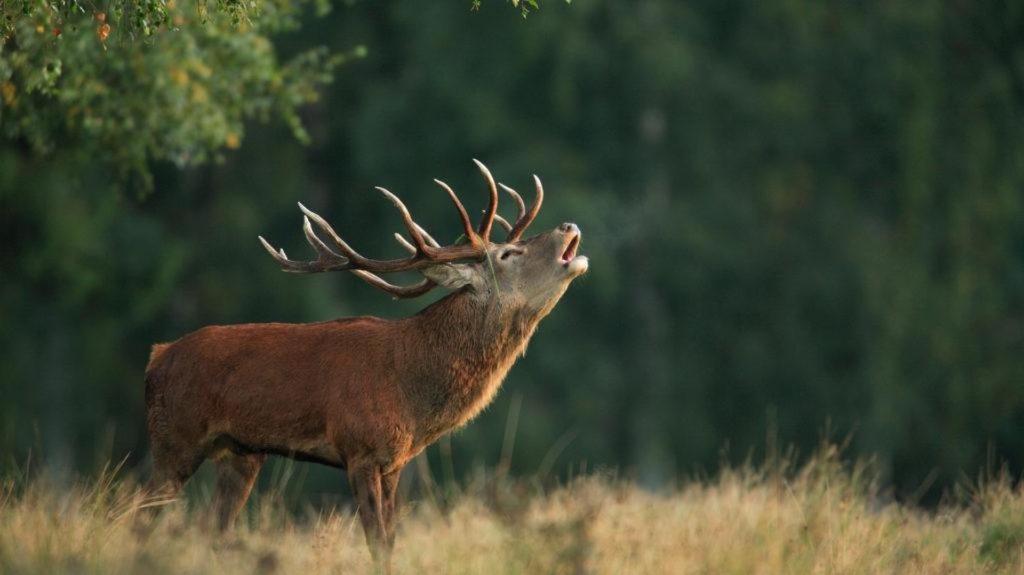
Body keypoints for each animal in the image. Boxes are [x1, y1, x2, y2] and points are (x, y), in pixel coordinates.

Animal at [146, 159, 593, 568]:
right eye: (508, 253)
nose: (568, 225)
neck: (411, 390)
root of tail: (157, 357)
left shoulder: (393, 462)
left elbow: (390, 542)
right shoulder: (359, 448)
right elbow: (376, 543)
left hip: (240, 454)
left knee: (212, 528)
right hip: (174, 440)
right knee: (141, 515)